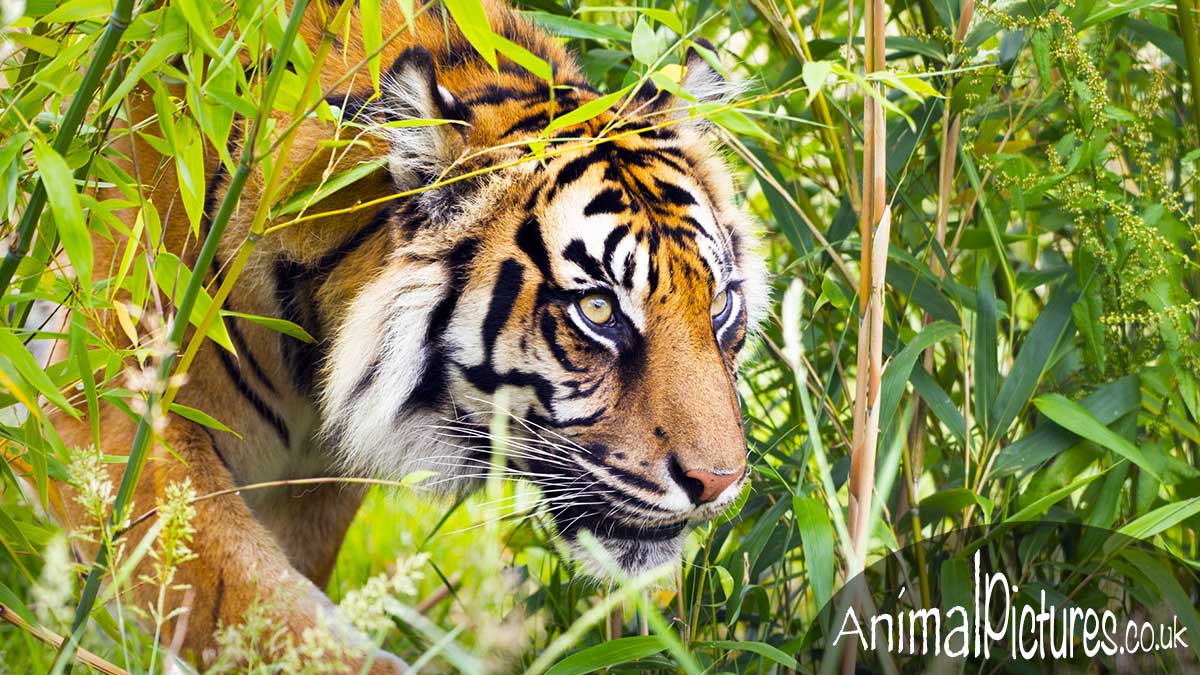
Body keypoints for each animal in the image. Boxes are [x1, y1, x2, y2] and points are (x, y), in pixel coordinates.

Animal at [40, 0, 769, 670]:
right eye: (597, 309)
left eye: (721, 303)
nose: (720, 483)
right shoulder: (113, 418)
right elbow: (253, 605)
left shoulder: (316, 481)